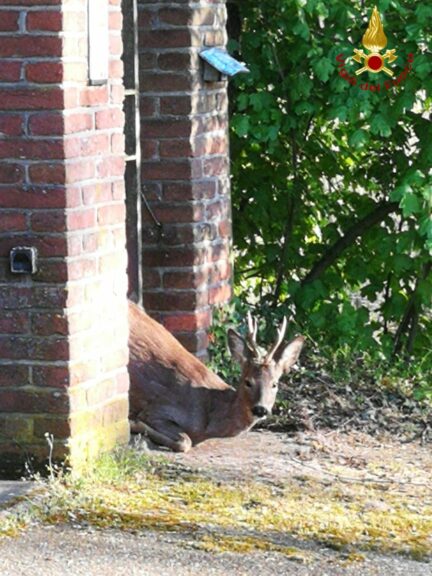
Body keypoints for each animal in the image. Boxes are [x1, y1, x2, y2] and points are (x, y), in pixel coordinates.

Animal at [128, 300, 304, 452]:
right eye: (248, 382)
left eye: (274, 384)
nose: (261, 409)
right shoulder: (158, 409)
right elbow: (185, 442)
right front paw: (135, 424)